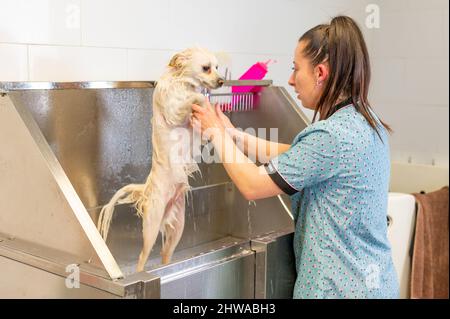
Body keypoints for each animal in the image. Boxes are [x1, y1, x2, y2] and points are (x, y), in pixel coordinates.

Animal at [98, 47, 225, 272]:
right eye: (206, 68)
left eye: (217, 67)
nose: (222, 81)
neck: (181, 81)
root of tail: (146, 189)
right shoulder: (174, 110)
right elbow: (195, 98)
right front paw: (204, 102)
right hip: (151, 226)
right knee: (142, 257)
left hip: (177, 228)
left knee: (166, 254)